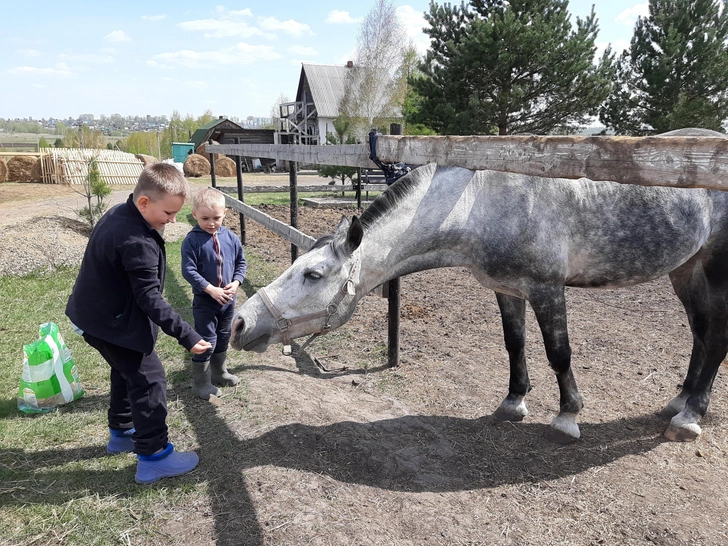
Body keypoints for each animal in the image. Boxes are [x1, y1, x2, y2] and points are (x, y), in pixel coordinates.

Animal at [232, 132, 728, 442]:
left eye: (313, 275)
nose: (240, 322)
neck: (480, 203)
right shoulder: (507, 290)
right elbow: (514, 344)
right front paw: (513, 402)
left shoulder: (548, 290)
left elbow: (559, 353)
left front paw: (568, 416)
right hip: (684, 270)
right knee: (700, 335)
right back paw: (679, 400)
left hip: (715, 272)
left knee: (715, 338)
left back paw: (690, 418)